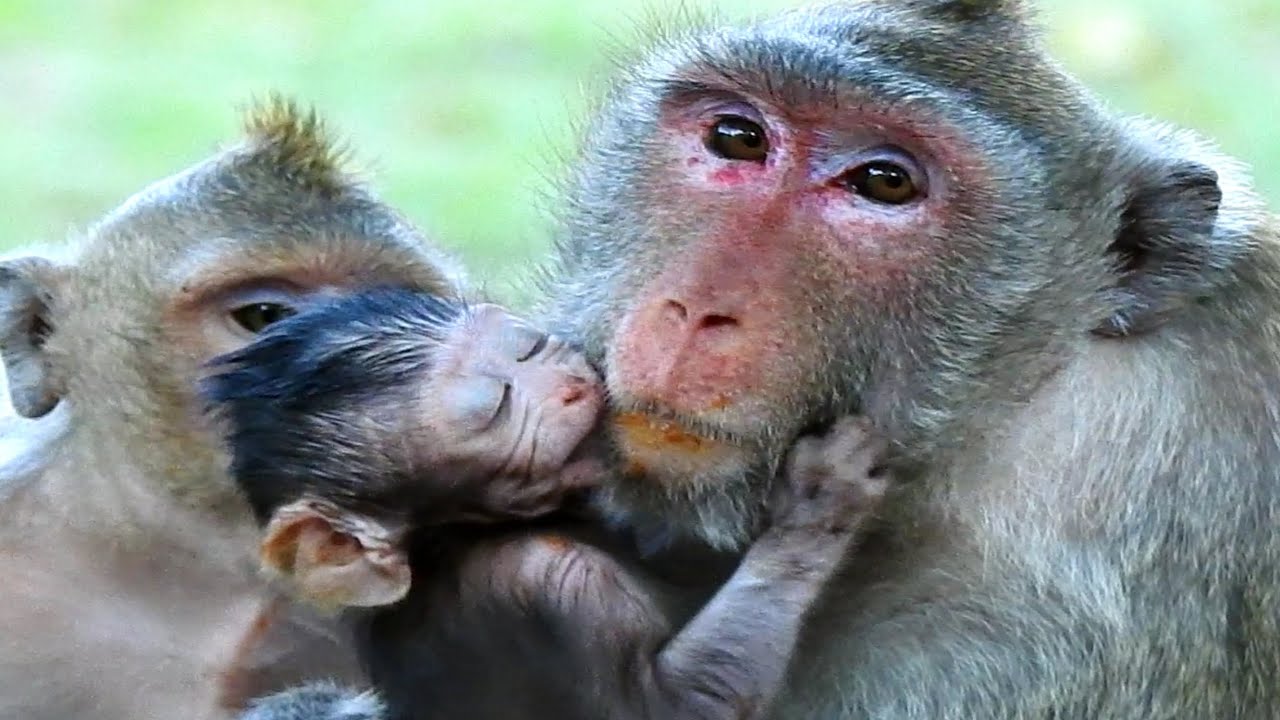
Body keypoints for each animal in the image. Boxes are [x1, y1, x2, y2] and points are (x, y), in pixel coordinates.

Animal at [202, 286, 894, 720]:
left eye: (524, 345)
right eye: (496, 406)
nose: (564, 374)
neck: (452, 538)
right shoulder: (543, 584)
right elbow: (671, 712)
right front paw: (819, 501)